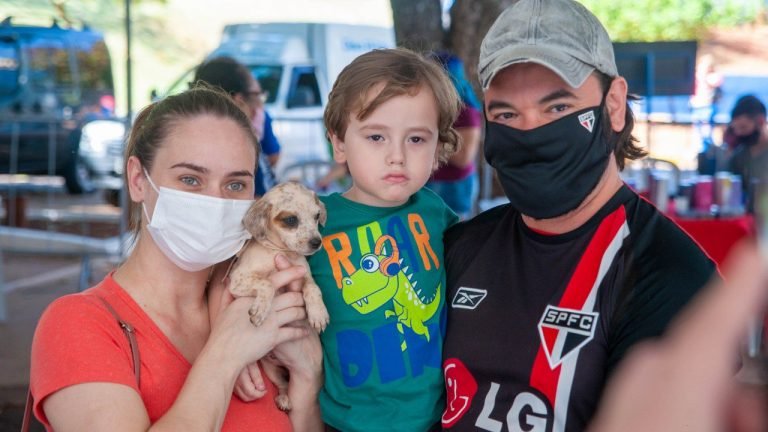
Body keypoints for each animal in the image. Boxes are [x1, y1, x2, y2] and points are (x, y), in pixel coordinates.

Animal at [228, 181, 330, 410]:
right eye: (291, 220)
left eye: (317, 216)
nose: (317, 242)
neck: (282, 253)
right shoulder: (238, 280)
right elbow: (267, 283)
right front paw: (260, 311)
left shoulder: (304, 275)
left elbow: (314, 288)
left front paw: (318, 314)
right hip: (270, 369)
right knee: (283, 384)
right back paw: (283, 398)